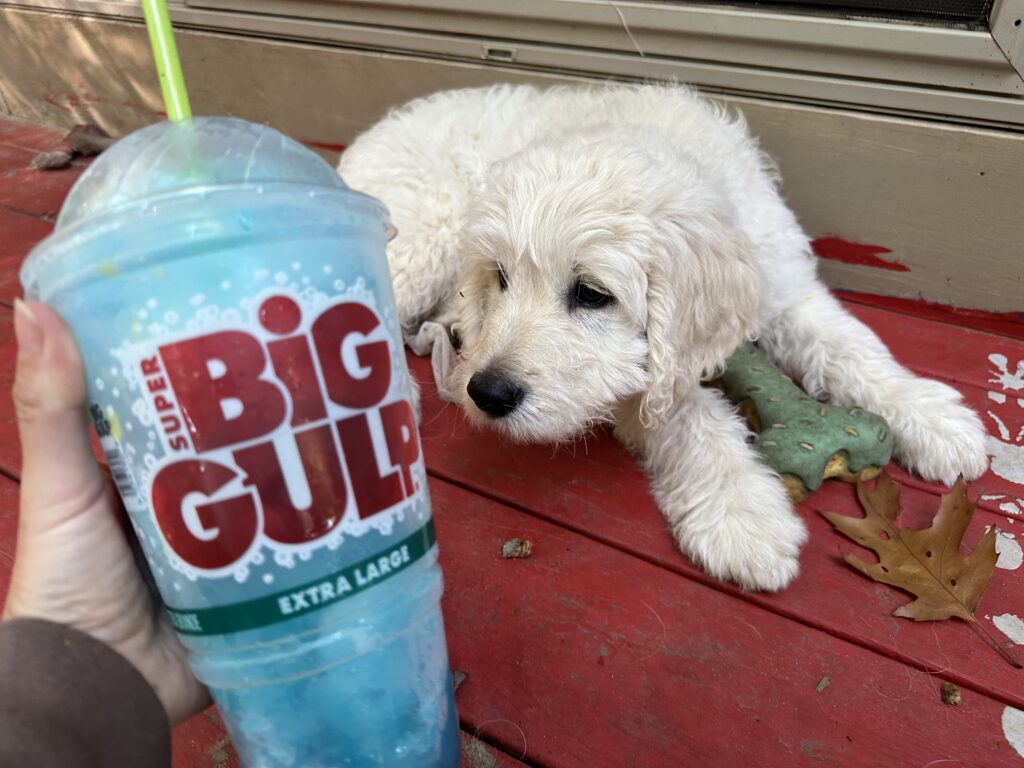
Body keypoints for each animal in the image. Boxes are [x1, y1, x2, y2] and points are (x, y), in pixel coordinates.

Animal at [338, 83, 989, 591]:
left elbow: (847, 346)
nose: (487, 394)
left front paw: (931, 417)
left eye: (591, 293)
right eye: (500, 277)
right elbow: (694, 417)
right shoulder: (635, 377)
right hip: (423, 233)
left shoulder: (781, 282)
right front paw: (743, 513)